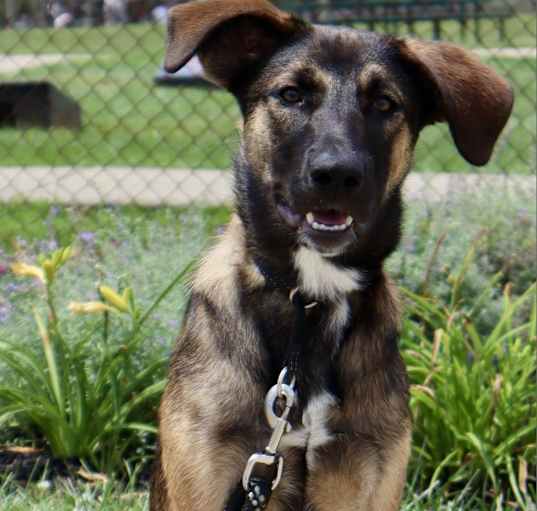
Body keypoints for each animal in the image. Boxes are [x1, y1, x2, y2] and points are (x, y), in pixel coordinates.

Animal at [150, 2, 510, 510]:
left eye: (386, 104)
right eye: (291, 94)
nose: (336, 174)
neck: (314, 298)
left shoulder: (369, 468)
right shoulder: (207, 472)